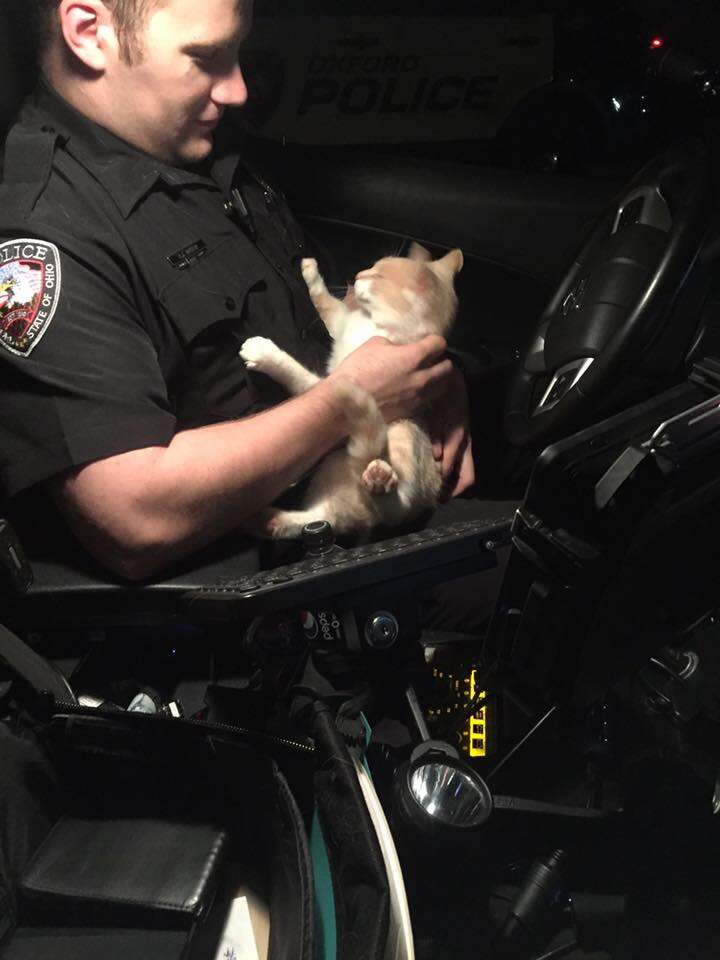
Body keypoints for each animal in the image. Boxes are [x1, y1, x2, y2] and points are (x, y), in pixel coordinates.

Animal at [239, 242, 464, 540]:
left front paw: (266, 354)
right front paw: (310, 271)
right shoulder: (340, 321)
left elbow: (300, 375)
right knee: (317, 519)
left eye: (378, 275)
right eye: (373, 266)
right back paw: (265, 519)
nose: (358, 274)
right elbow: (324, 301)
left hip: (403, 433)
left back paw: (379, 479)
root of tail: (367, 518)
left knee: (394, 504)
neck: (374, 325)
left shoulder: (335, 378)